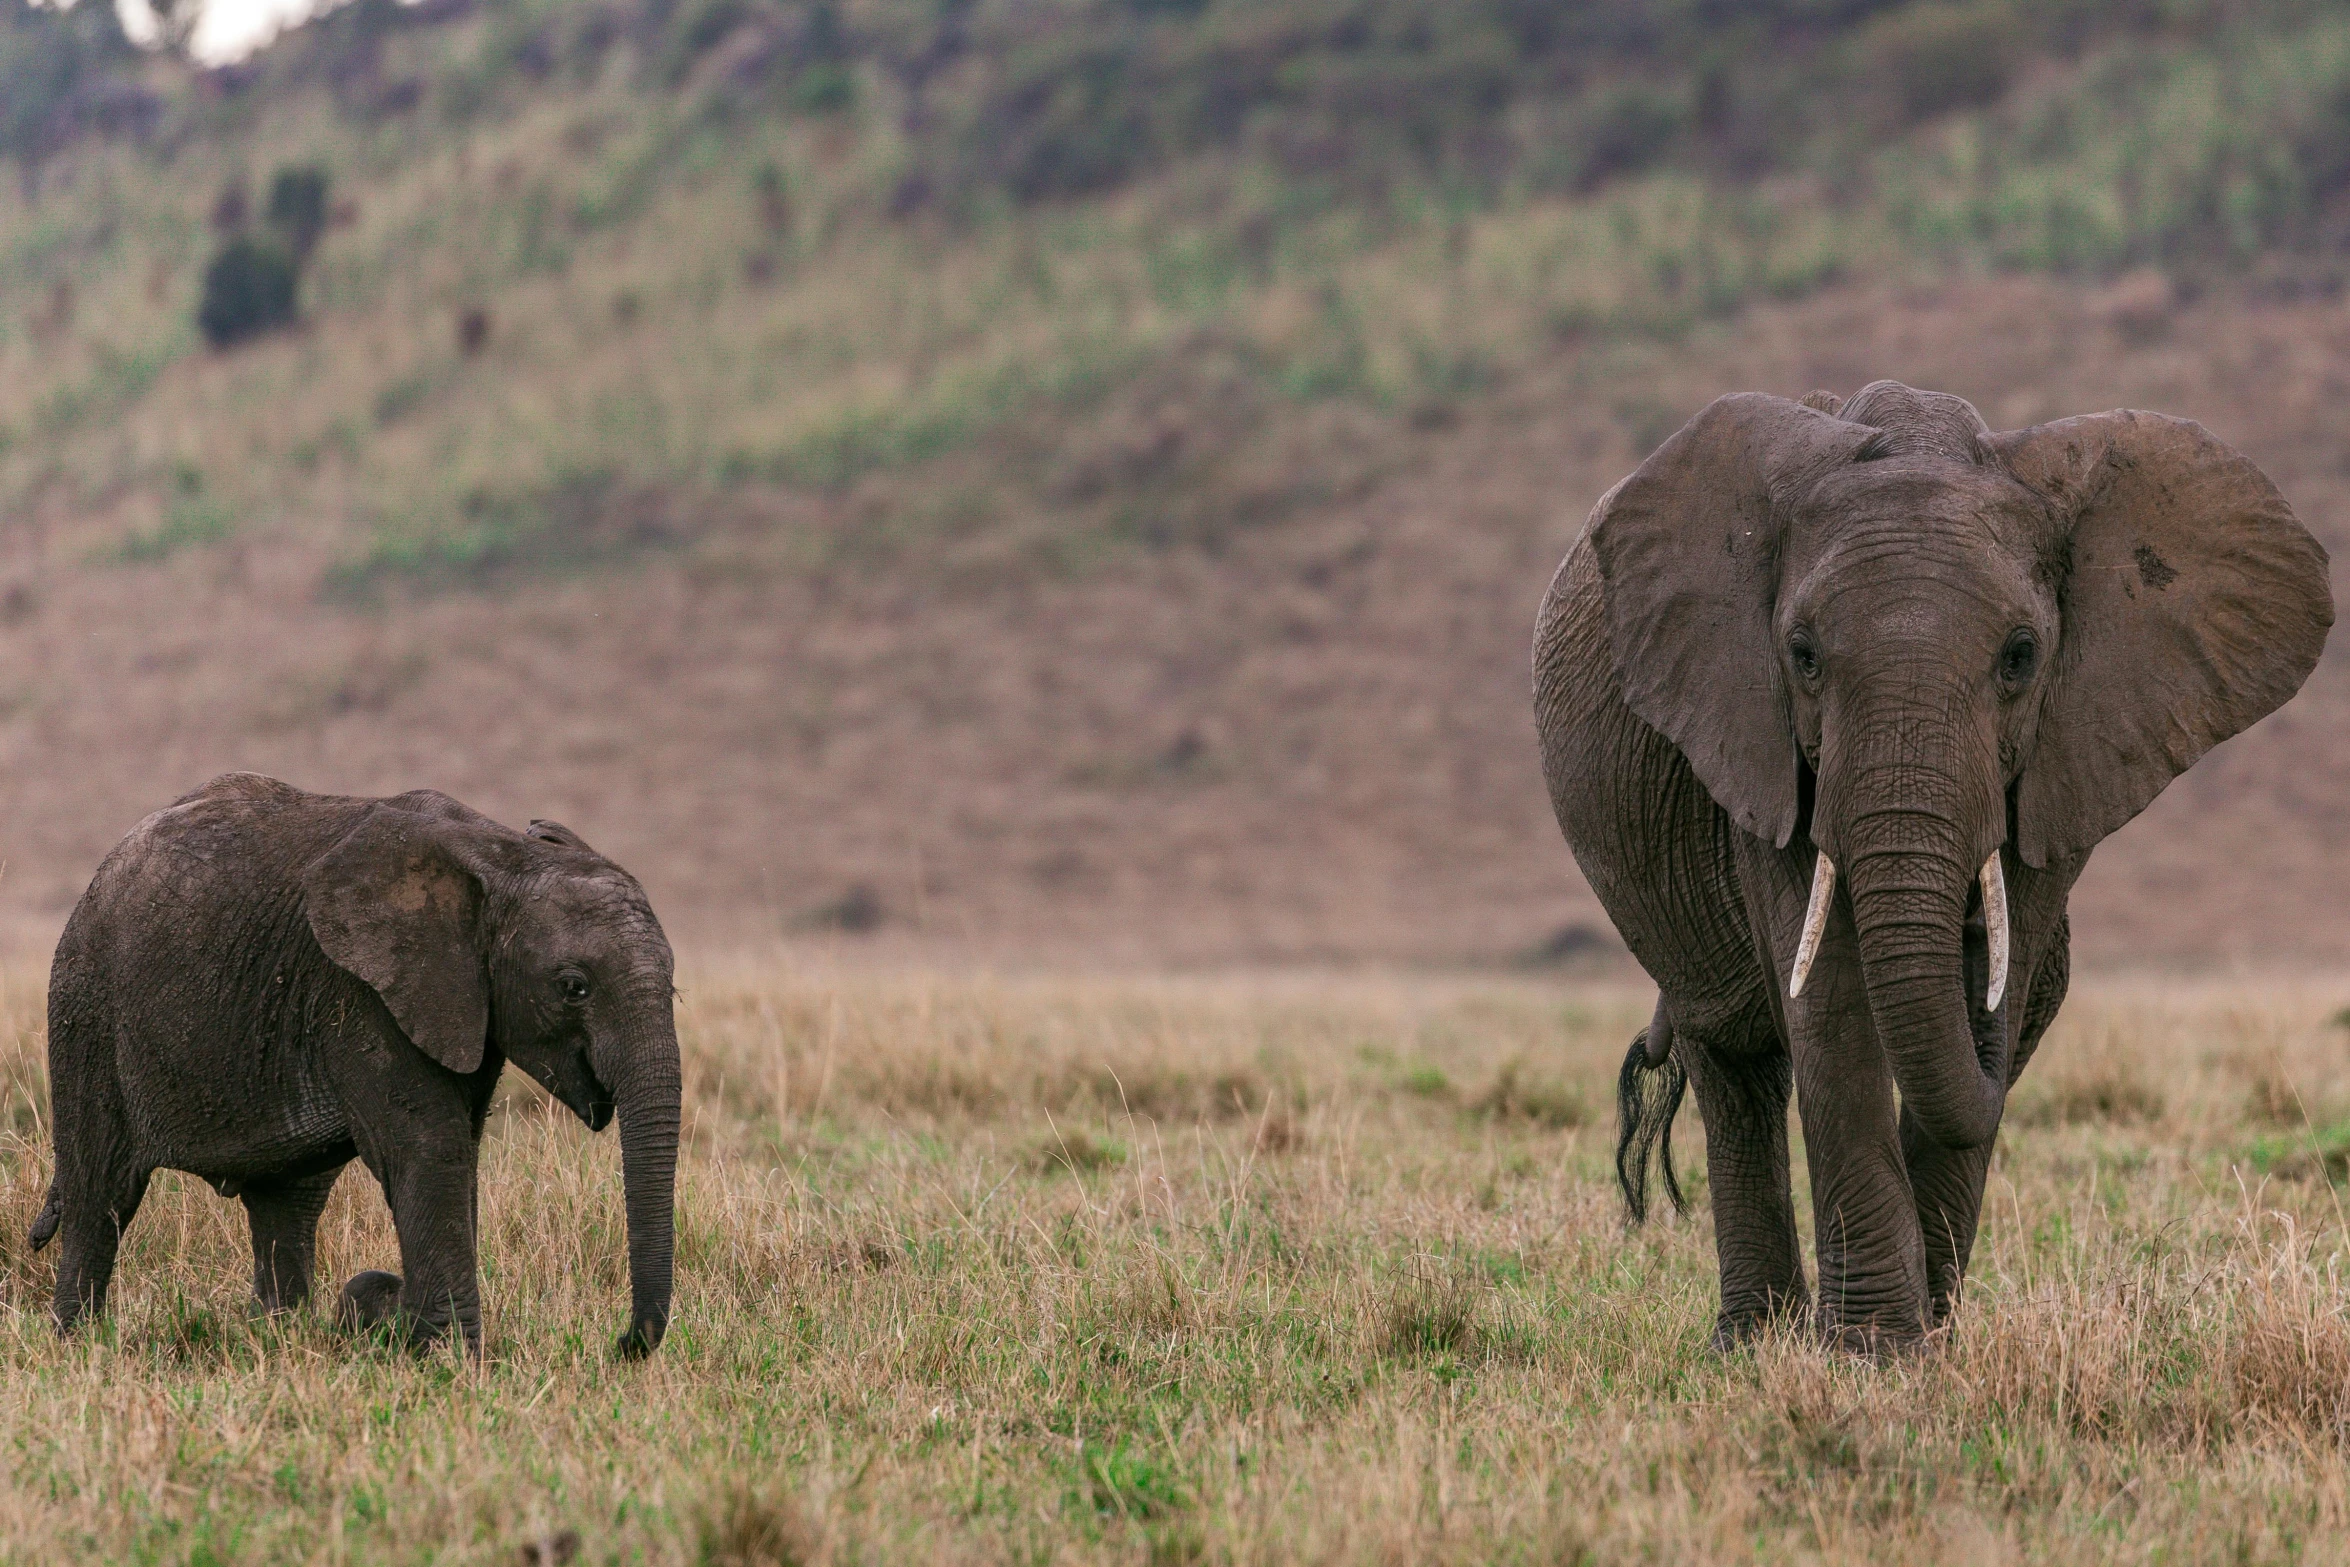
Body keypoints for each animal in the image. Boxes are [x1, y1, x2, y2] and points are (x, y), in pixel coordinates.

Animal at [34, 775, 681, 1362]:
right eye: (574, 987)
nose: (621, 1345)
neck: (500, 859)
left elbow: (459, 1152)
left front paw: (407, 1326)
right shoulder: (362, 992)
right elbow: (430, 1148)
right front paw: (451, 1363)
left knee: (287, 1203)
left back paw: (278, 1340)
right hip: (87, 1009)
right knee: (102, 1192)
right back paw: (77, 1345)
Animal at [1541, 380, 2331, 1353]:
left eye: (2022, 656)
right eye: (1802, 655)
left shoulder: (2066, 748)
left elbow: (2001, 974)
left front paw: (1925, 1349)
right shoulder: (1756, 741)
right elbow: (1829, 1001)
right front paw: (1876, 1353)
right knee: (1735, 1062)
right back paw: (1754, 1343)